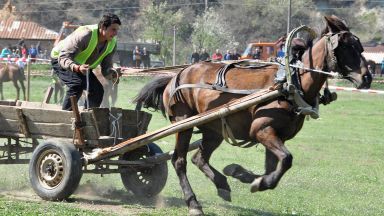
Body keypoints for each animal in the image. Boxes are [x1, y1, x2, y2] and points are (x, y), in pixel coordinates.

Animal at [134, 16, 370, 215]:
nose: (366, 78)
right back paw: (193, 203)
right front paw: (257, 181)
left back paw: (222, 184)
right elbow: (286, 159)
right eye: (346, 47)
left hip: (213, 129)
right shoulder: (262, 130)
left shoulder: (277, 135)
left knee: (199, 157)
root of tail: (177, 75)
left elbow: (273, 166)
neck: (290, 83)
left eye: (360, 47)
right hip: (183, 123)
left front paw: (241, 173)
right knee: (179, 160)